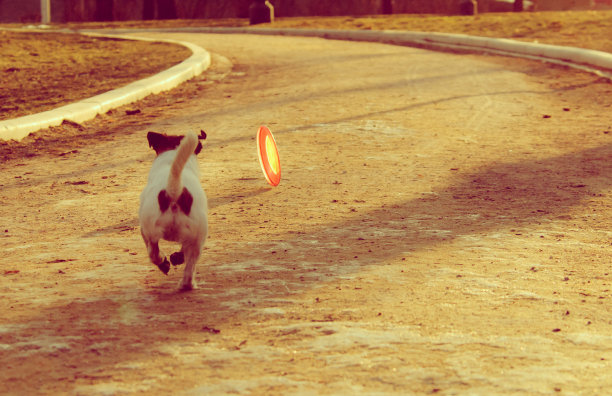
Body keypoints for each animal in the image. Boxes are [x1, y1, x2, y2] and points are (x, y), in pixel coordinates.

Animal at [139, 131, 208, 290]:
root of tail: (174, 190)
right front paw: (177, 257)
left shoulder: (143, 230)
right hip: (198, 238)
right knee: (189, 267)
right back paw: (185, 283)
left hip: (150, 231)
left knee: (154, 253)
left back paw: (165, 264)